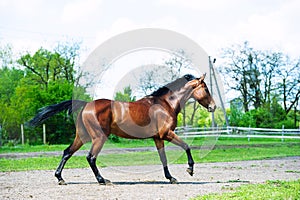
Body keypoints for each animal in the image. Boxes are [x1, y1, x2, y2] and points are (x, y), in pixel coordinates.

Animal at [29, 73, 216, 184]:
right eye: (206, 88)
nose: (213, 107)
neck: (165, 104)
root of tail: (86, 105)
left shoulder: (158, 138)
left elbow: (163, 158)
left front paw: (171, 178)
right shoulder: (166, 134)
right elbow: (187, 146)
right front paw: (190, 169)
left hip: (82, 137)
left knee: (67, 152)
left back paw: (60, 178)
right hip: (98, 137)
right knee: (91, 157)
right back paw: (102, 180)